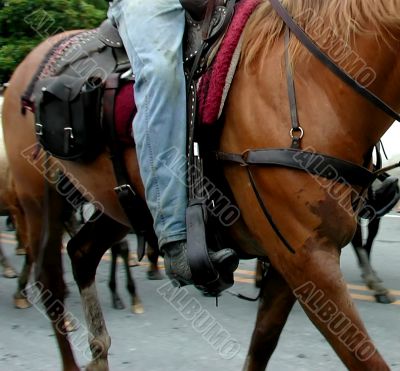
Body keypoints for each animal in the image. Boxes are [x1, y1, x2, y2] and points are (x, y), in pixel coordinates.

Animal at [1, 0, 398, 371]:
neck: (315, 86)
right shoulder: (307, 259)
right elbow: (363, 356)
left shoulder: (293, 264)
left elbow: (262, 343)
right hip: (39, 200)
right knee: (50, 280)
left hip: (118, 206)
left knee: (82, 253)